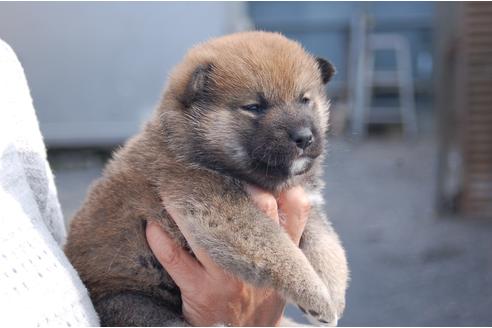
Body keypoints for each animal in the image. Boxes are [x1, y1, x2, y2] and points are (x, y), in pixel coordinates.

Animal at [65, 31, 348, 326]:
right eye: (254, 107)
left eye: (305, 99)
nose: (304, 137)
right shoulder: (218, 208)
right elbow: (281, 250)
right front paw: (316, 295)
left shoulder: (307, 205)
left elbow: (327, 245)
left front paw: (333, 295)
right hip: (133, 304)